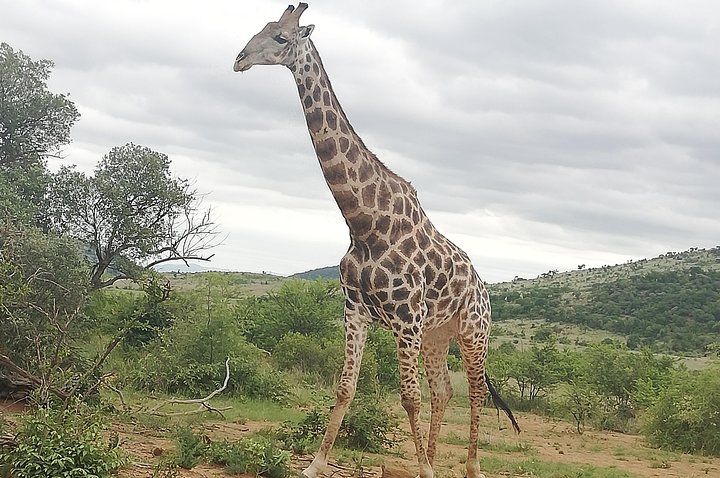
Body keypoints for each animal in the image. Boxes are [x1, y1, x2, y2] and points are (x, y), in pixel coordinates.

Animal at [231, 4, 516, 478]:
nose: (239, 59)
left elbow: (409, 397)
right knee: (444, 390)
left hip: (474, 332)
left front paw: (424, 470)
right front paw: (316, 464)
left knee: (473, 392)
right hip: (438, 335)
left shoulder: (407, 319)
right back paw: (432, 459)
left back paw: (470, 468)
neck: (364, 223)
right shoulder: (356, 311)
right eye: (261, 28)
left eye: (281, 37)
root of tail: (483, 288)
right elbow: (346, 387)